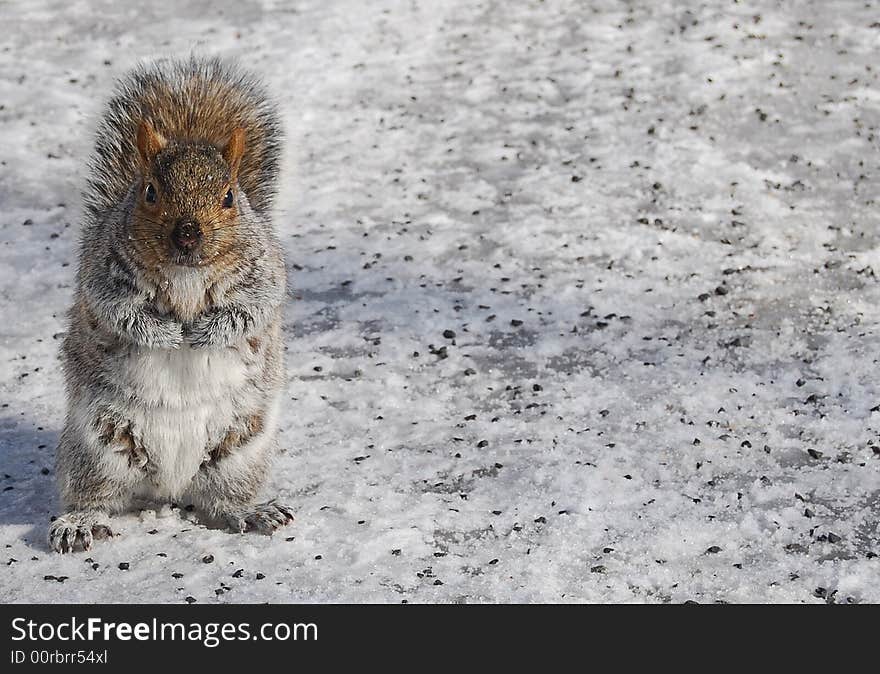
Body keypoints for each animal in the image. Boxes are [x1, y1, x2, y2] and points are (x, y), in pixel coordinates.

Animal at [49, 56, 294, 552]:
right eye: (149, 191)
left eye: (229, 197)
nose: (187, 233)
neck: (185, 271)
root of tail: (168, 491)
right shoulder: (102, 273)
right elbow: (119, 311)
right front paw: (162, 333)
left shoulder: (264, 273)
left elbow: (252, 308)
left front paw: (205, 332)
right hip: (94, 450)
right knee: (94, 496)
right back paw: (80, 523)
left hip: (240, 452)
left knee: (223, 502)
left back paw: (252, 512)